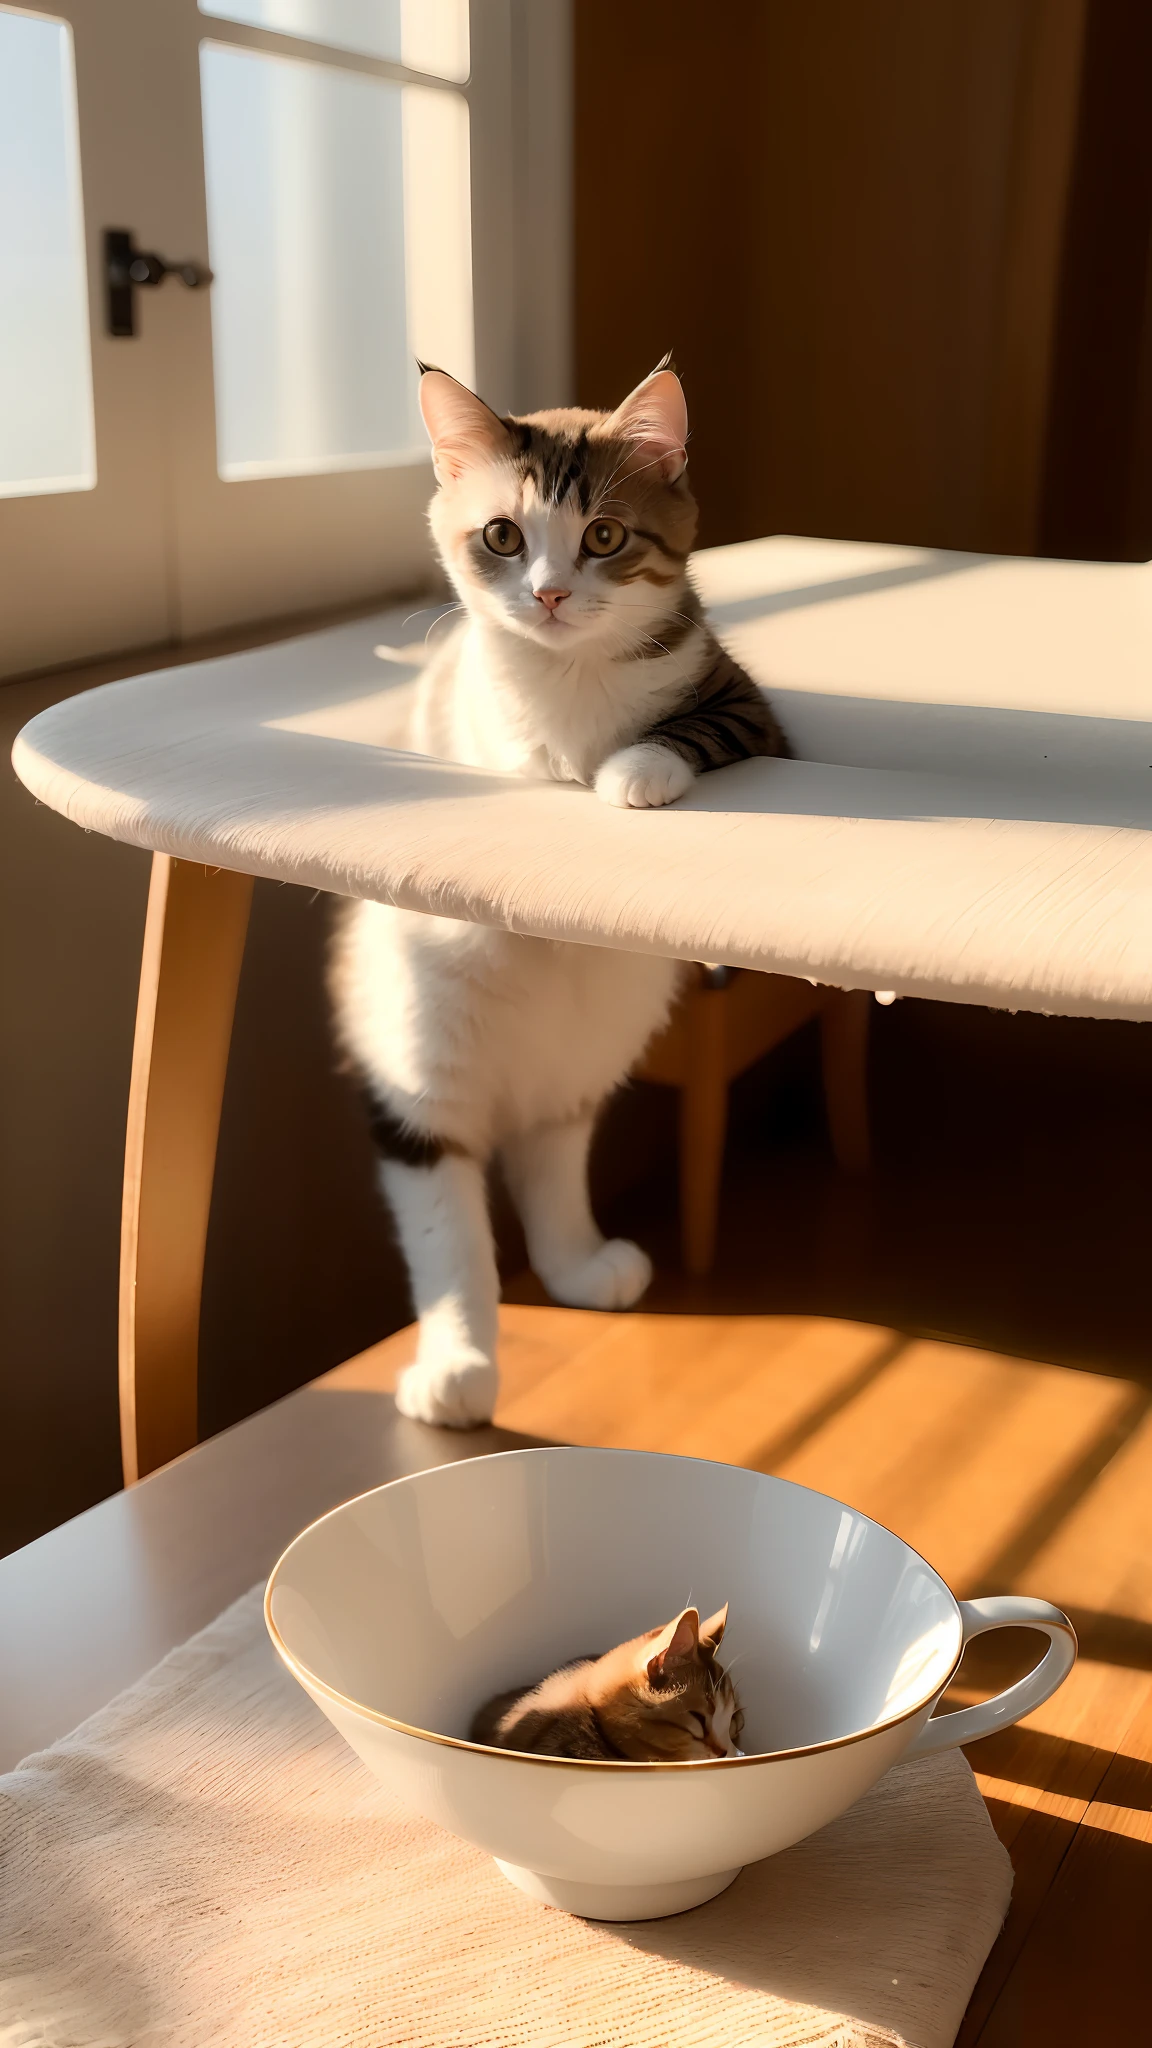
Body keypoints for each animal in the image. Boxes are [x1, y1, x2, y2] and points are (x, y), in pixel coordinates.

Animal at [327, 360, 783, 1433]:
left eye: (605, 537)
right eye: (502, 535)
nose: (547, 593)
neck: (569, 678)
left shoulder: (749, 708)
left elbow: (688, 729)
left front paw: (633, 772)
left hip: (586, 1042)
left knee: (555, 1144)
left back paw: (577, 1264)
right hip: (425, 1052)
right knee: (457, 1182)